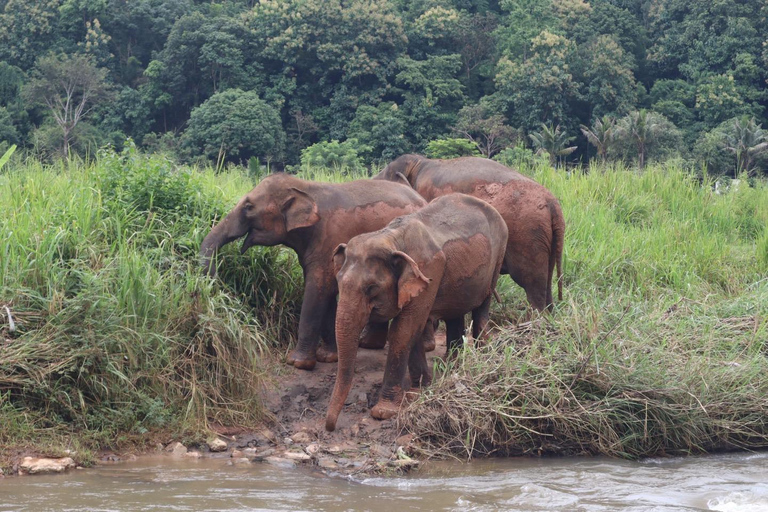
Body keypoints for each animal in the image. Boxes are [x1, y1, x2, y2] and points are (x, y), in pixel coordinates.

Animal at [200, 174, 426, 370]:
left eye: (248, 207)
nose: (218, 285)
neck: (305, 188)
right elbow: (326, 293)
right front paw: (328, 357)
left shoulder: (330, 242)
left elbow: (316, 291)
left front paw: (297, 363)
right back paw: (369, 344)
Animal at [326, 193, 510, 432]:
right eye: (338, 281)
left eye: (371, 288)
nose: (330, 426)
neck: (390, 238)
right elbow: (414, 328)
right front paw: (419, 390)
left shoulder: (429, 271)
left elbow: (404, 329)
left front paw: (383, 412)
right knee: (455, 314)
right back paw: (452, 364)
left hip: (497, 258)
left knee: (481, 309)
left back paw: (480, 359)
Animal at [376, 153, 564, 312]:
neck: (420, 163)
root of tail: (553, 203)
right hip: (544, 237)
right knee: (547, 279)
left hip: (528, 234)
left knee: (531, 282)